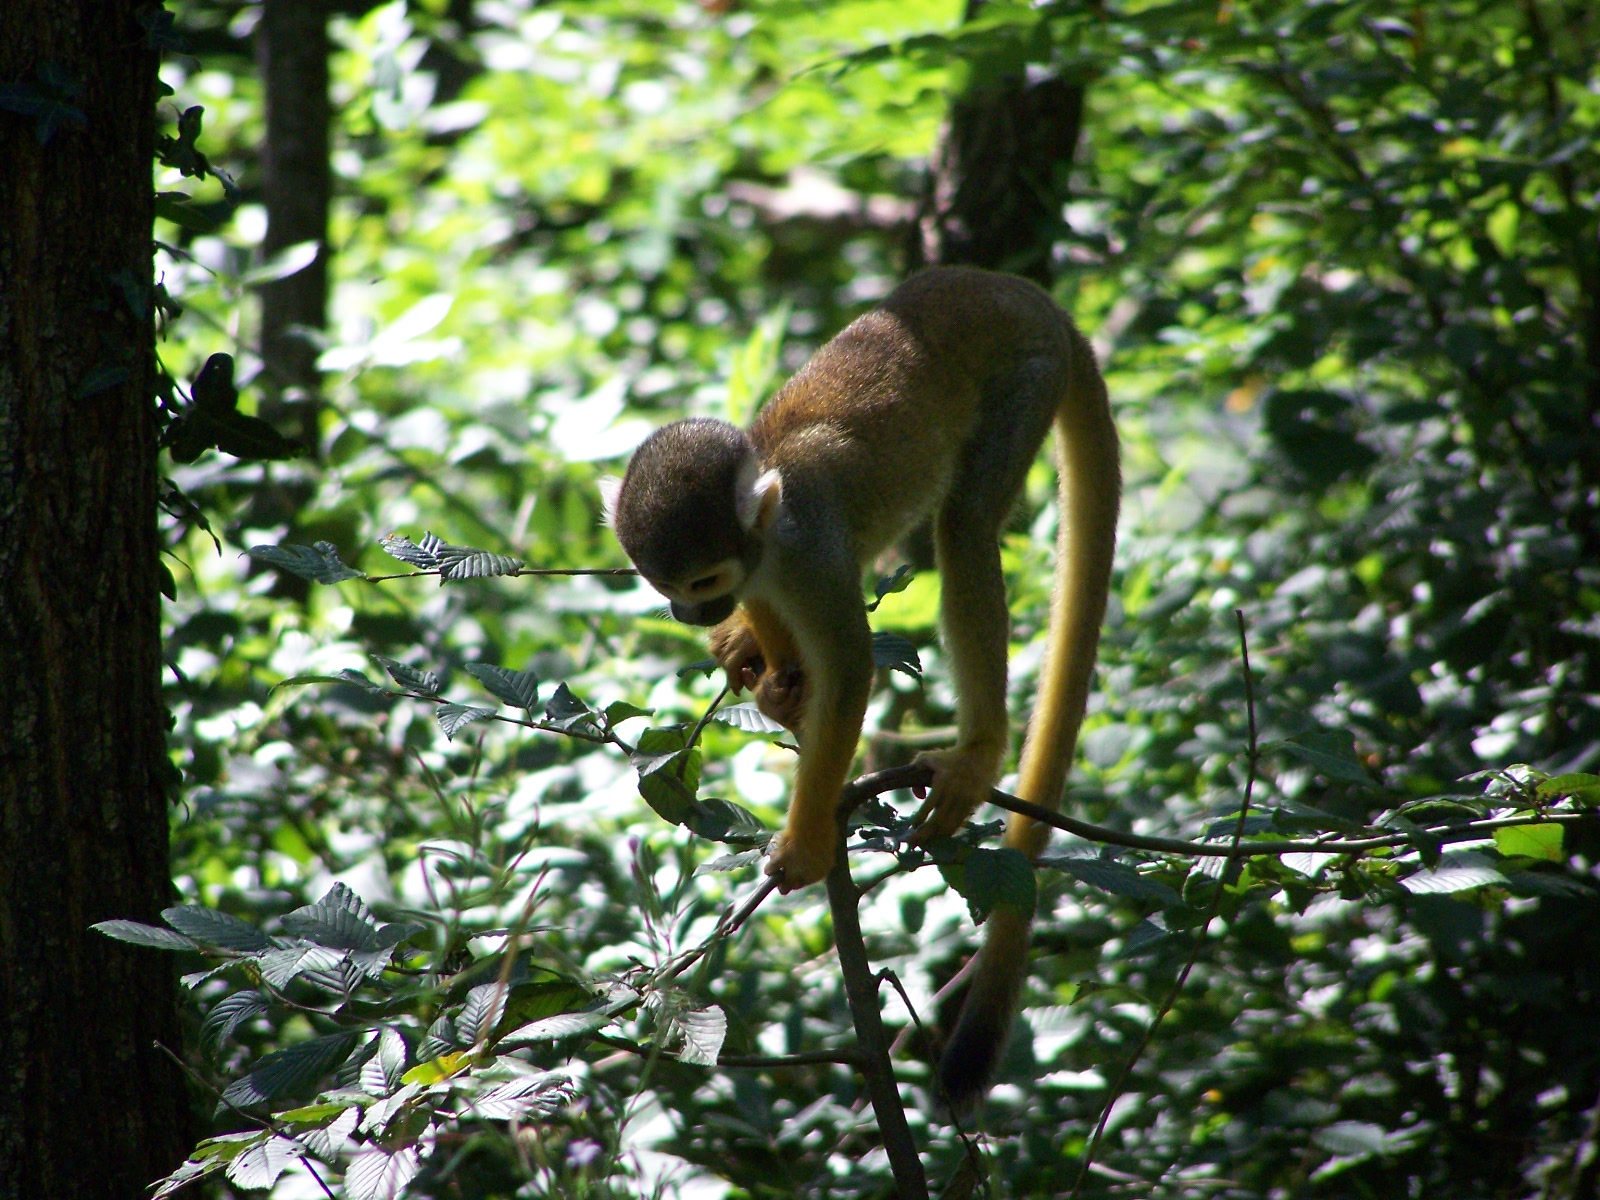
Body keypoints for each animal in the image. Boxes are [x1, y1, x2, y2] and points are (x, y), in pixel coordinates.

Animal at [609, 266, 1119, 1110]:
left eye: (700, 581)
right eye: (666, 587)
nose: (690, 611)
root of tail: (1023, 294)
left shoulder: (806, 548)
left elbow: (851, 670)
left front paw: (808, 842)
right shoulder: (767, 566)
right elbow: (786, 631)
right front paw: (773, 675)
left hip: (1030, 371)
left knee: (965, 525)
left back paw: (980, 750)